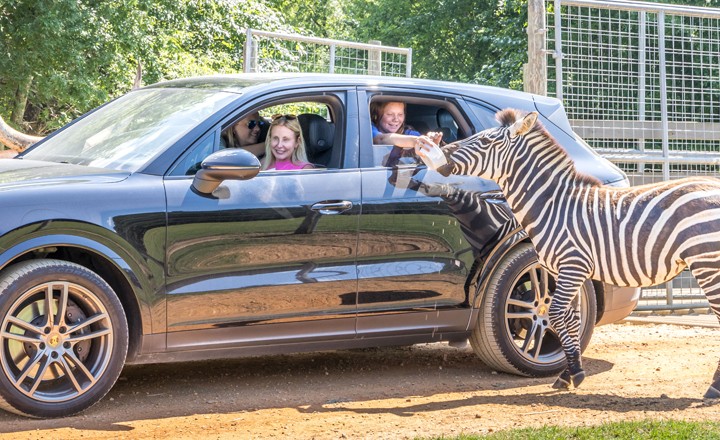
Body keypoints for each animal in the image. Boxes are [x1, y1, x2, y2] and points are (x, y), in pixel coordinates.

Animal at [428, 108, 720, 398]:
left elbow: (556, 314)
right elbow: (571, 318)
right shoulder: (565, 271)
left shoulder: (573, 265)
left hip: (707, 263)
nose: (440, 154)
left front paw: (575, 373)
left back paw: (714, 387)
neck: (552, 205)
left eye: (485, 141)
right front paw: (568, 373)